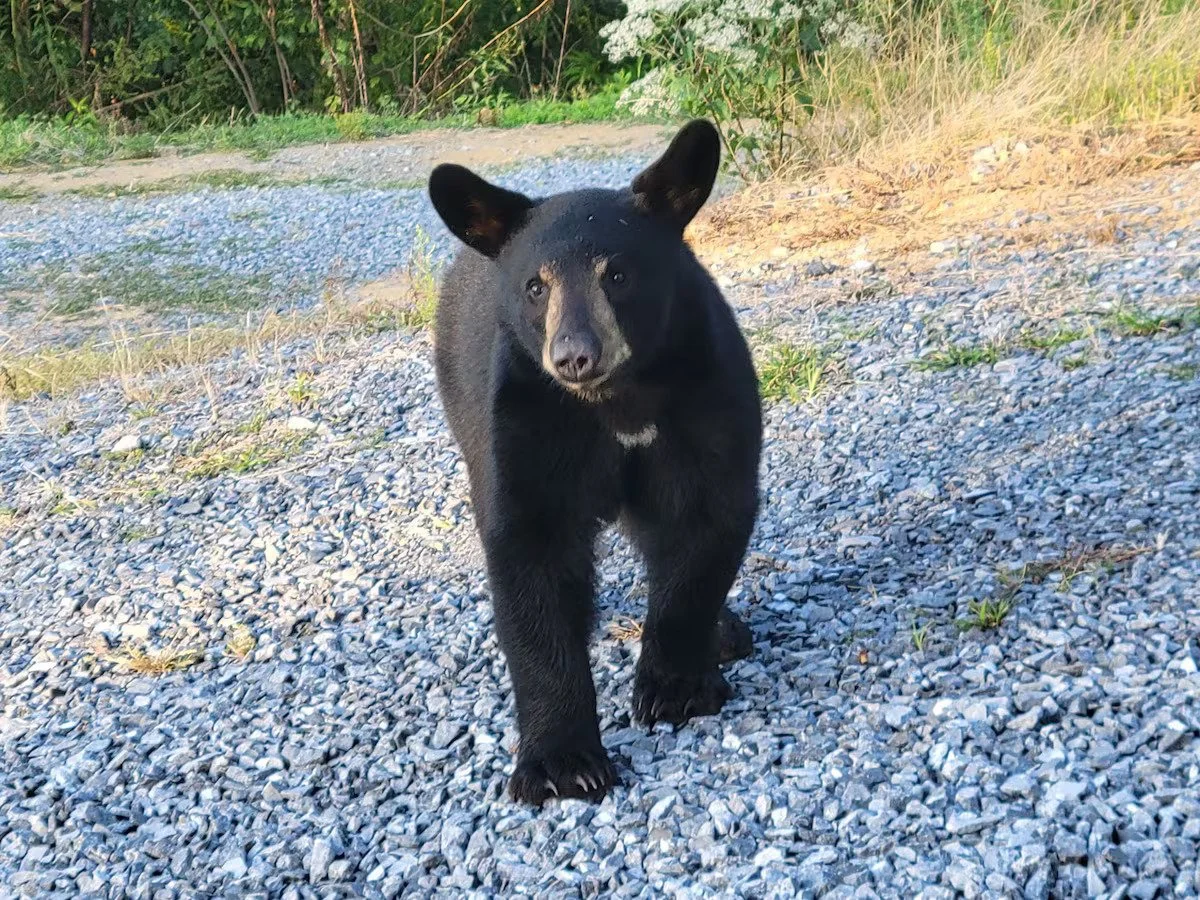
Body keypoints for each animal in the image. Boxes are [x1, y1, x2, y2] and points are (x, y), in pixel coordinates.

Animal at [426, 119, 763, 806]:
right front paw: (562, 761)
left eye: (618, 275)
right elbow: (531, 556)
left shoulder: (707, 396)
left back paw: (724, 632)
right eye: (536, 287)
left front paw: (675, 685)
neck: (616, 403)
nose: (574, 356)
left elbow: (706, 520)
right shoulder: (526, 425)